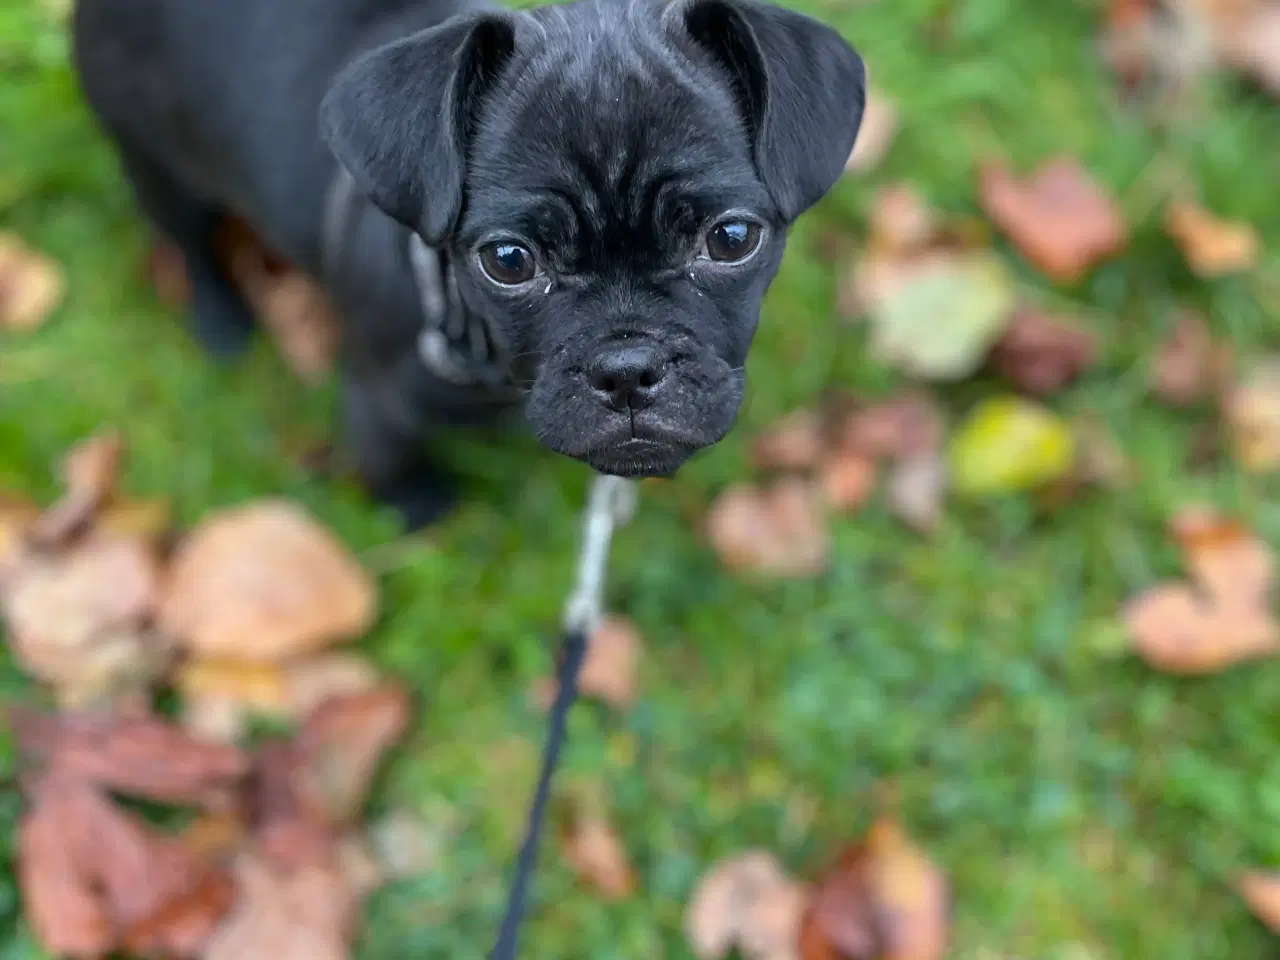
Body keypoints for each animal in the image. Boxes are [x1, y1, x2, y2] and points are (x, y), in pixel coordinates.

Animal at [72, 0, 870, 529]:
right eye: (508, 261)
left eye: (731, 239)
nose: (627, 367)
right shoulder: (377, 402)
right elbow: (395, 462)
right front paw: (418, 511)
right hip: (153, 162)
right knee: (187, 240)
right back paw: (222, 323)